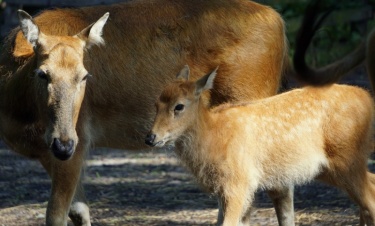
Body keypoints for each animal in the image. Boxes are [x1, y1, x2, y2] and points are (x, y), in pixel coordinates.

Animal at [0, 0, 290, 225]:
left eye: (84, 76)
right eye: (42, 73)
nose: (62, 143)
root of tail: (279, 22)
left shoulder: (79, 140)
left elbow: (56, 215)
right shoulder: (51, 153)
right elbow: (79, 211)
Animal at [146, 66, 375, 226]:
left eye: (179, 106)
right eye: (156, 104)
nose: (150, 137)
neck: (215, 136)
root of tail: (367, 99)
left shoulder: (239, 182)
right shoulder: (224, 188)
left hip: (347, 158)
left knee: (369, 200)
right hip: (330, 168)